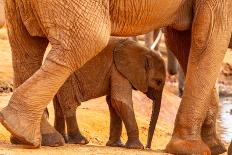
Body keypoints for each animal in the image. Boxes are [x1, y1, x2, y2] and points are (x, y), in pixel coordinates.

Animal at [0, 0, 231, 154]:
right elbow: (209, 34)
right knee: (88, 41)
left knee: (26, 49)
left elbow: (186, 41)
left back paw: (38, 137)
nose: (149, 147)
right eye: (158, 82)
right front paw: (191, 149)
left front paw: (215, 147)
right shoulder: (119, 71)